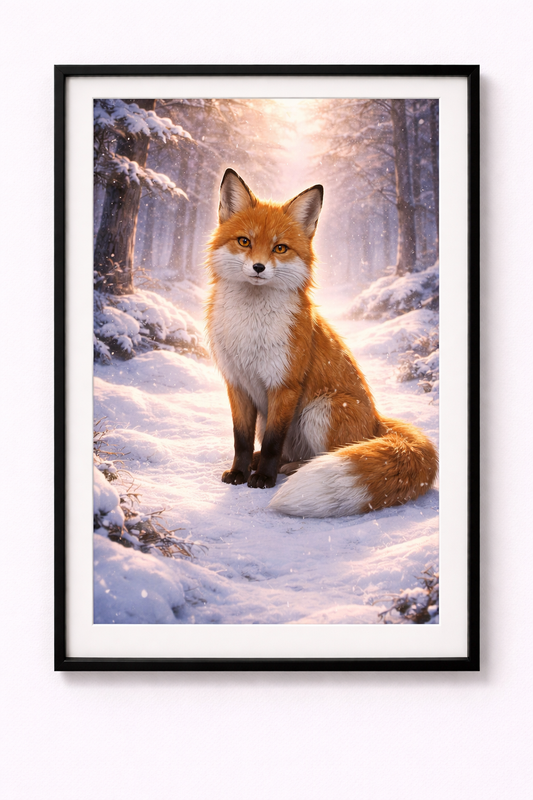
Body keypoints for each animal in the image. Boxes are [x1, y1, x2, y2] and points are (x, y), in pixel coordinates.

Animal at [205, 168, 438, 517]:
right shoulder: (237, 383)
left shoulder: (285, 384)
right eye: (244, 241)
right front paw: (239, 473)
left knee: (320, 455)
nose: (258, 267)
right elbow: (241, 440)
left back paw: (289, 470)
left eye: (280, 248)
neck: (251, 327)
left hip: (321, 410)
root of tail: (376, 423)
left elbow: (272, 442)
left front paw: (263, 480)